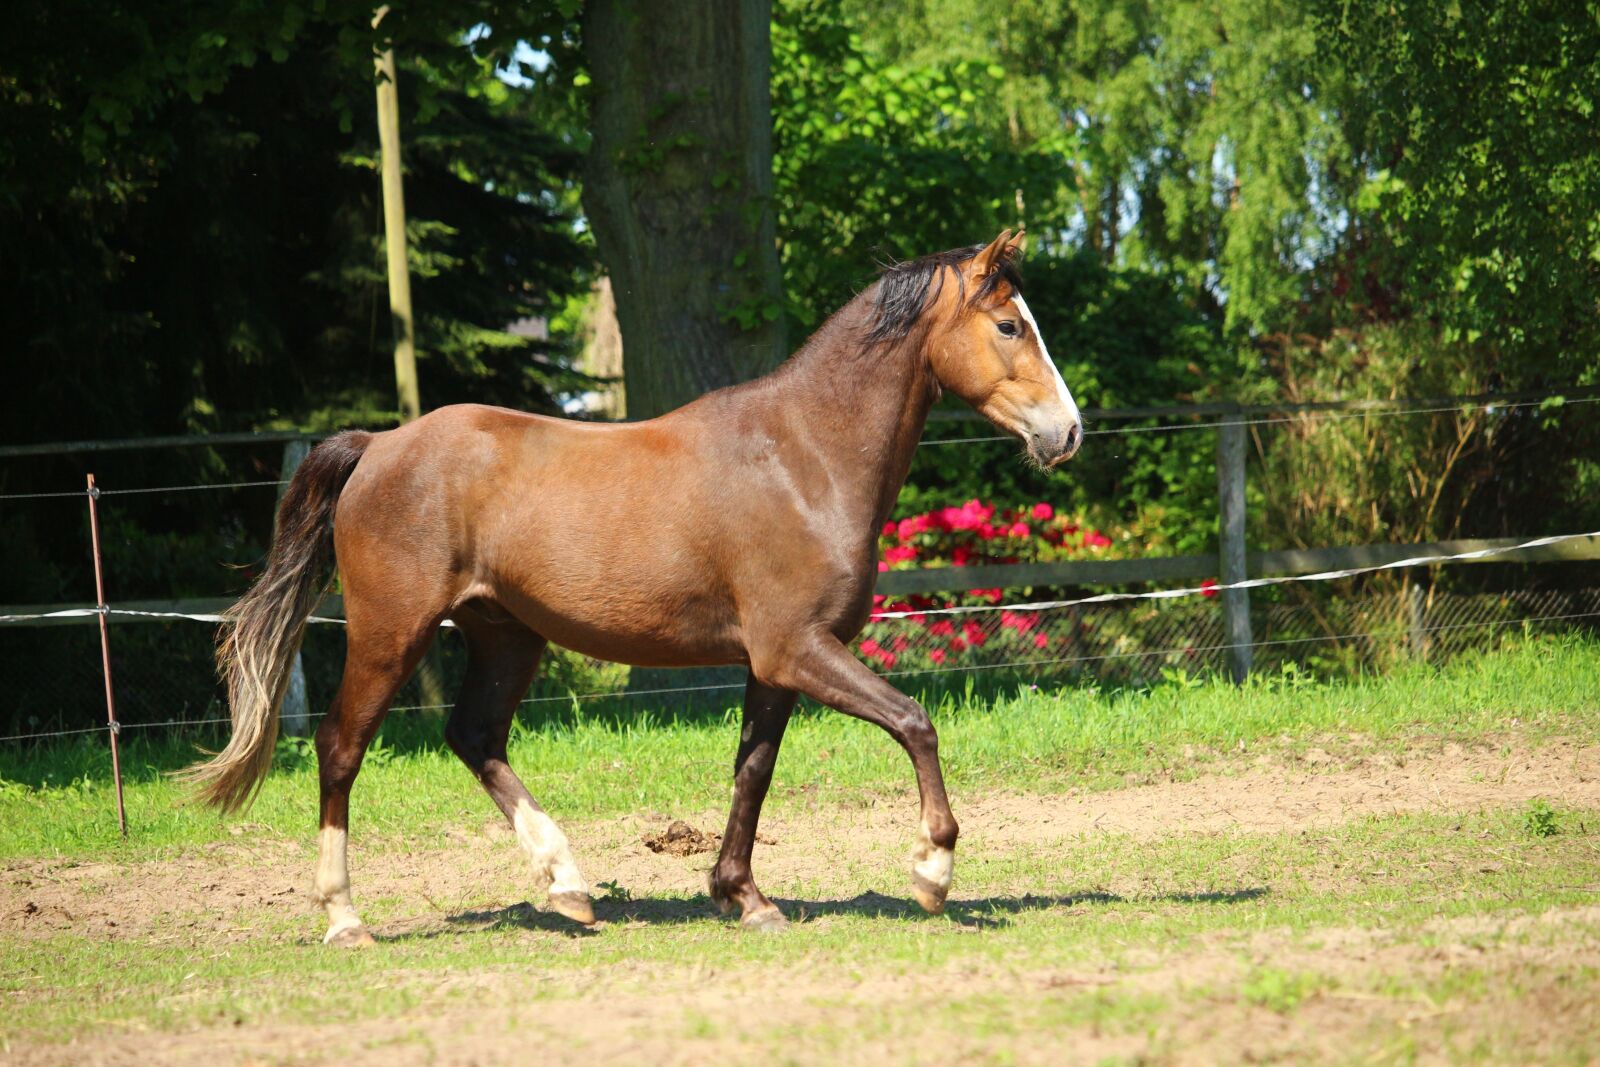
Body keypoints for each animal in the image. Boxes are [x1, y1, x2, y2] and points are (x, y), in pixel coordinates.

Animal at [182, 229, 1082, 944]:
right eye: (1009, 324)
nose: (1067, 431)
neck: (803, 456)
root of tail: (377, 446)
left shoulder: (773, 665)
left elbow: (753, 770)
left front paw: (744, 897)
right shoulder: (797, 649)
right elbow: (914, 721)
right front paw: (932, 870)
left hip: (506, 636)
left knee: (475, 737)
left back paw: (568, 885)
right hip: (390, 632)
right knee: (341, 748)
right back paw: (346, 919)